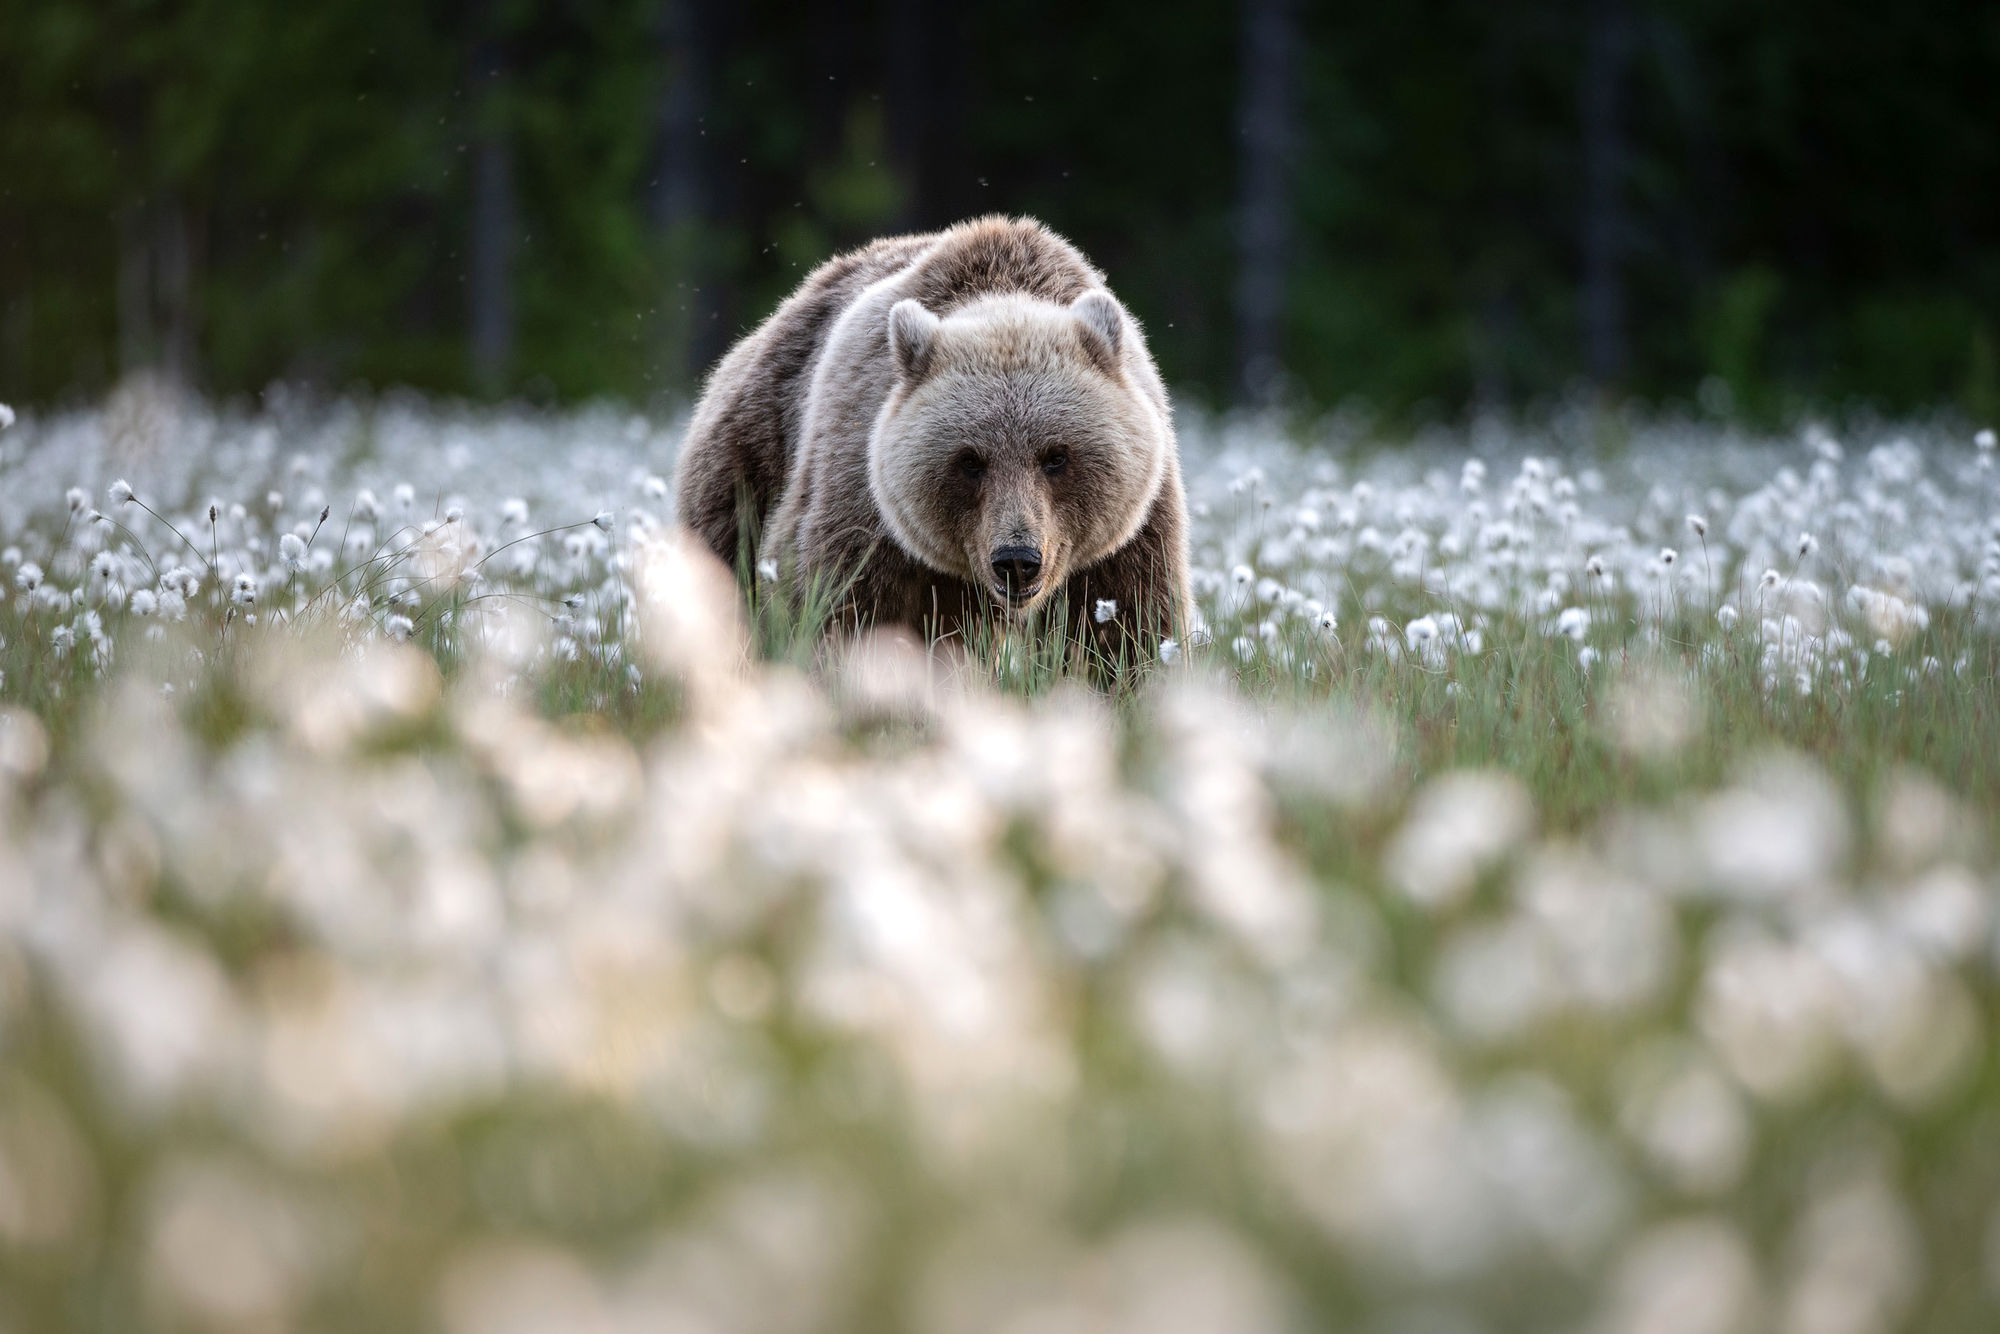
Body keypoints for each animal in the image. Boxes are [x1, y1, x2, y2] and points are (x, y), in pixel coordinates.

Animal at [674, 215, 1191, 658]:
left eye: (1057, 455)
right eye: (970, 460)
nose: (1017, 559)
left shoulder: (1132, 528)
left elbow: (1126, 630)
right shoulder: (864, 502)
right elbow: (839, 608)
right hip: (749, 461)